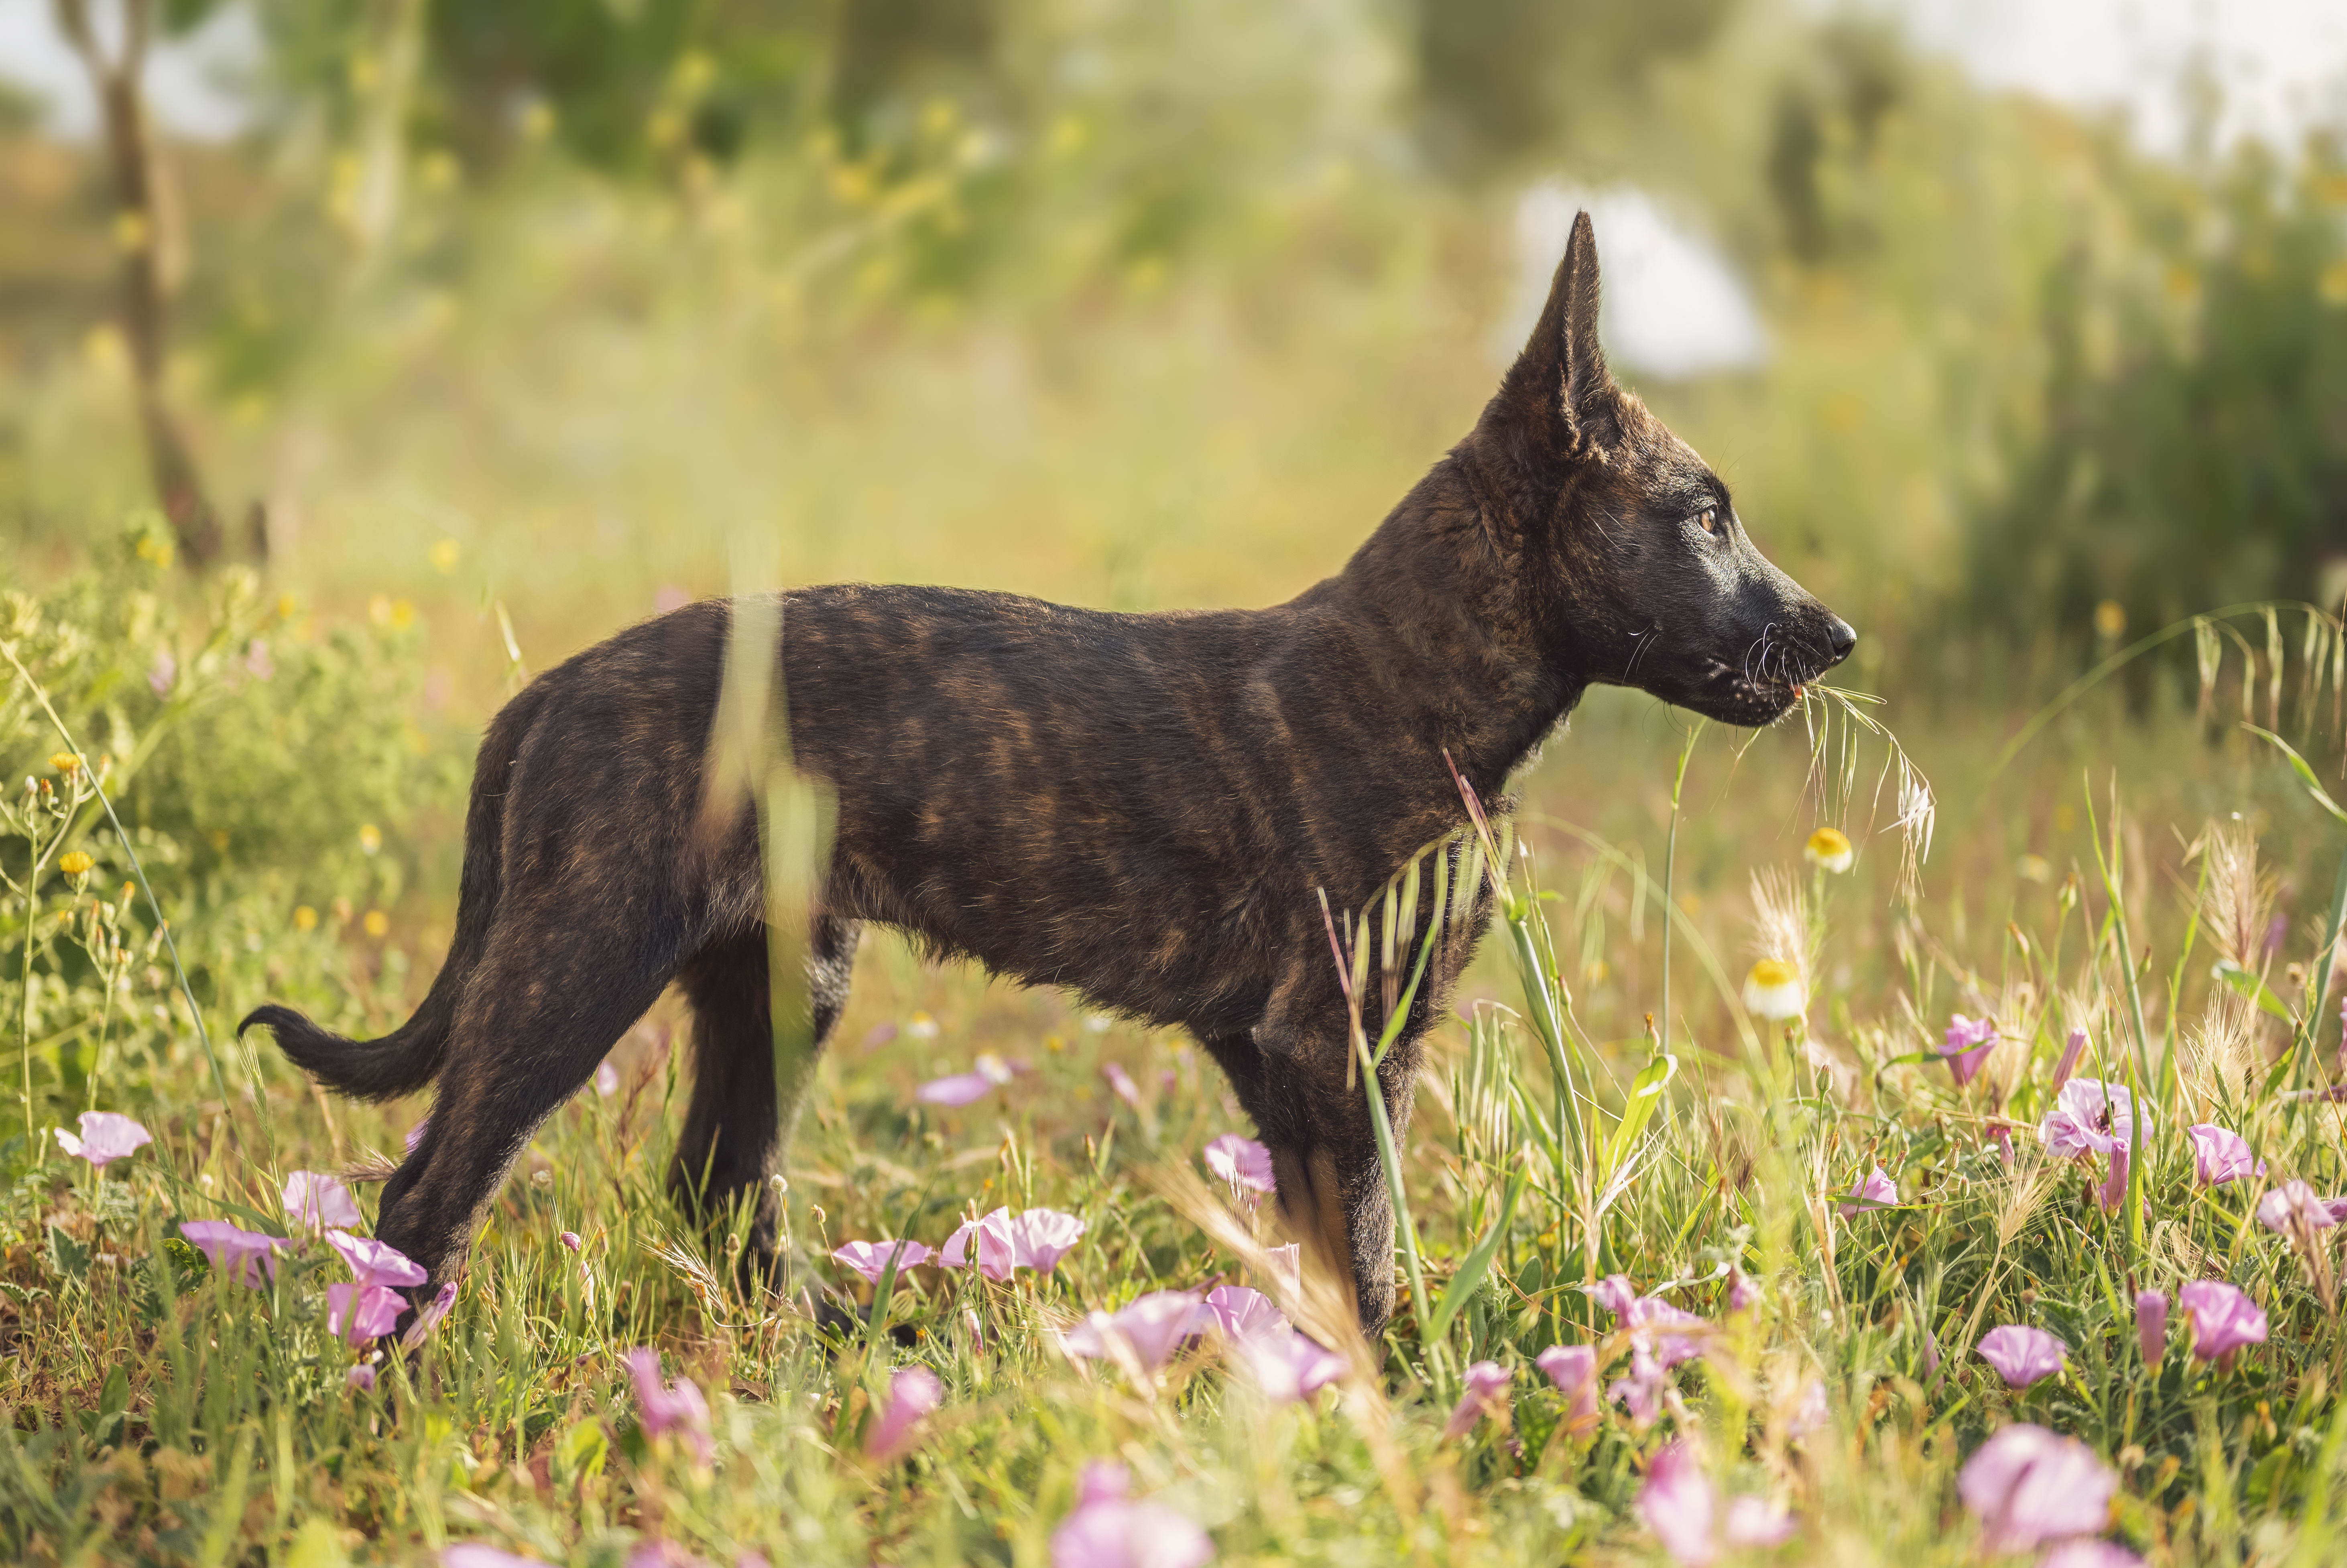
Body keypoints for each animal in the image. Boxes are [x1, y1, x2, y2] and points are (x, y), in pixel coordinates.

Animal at [238, 215, 1849, 1333]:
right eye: (1702, 515)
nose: (1833, 638)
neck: (1414, 689)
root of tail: (547, 693)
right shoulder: (1330, 1050)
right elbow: (1373, 1261)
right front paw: (1414, 1416)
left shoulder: (1312, 1060)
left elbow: (1335, 1262)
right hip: (577, 964)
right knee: (431, 1188)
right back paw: (387, 1382)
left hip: (777, 978)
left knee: (714, 1187)